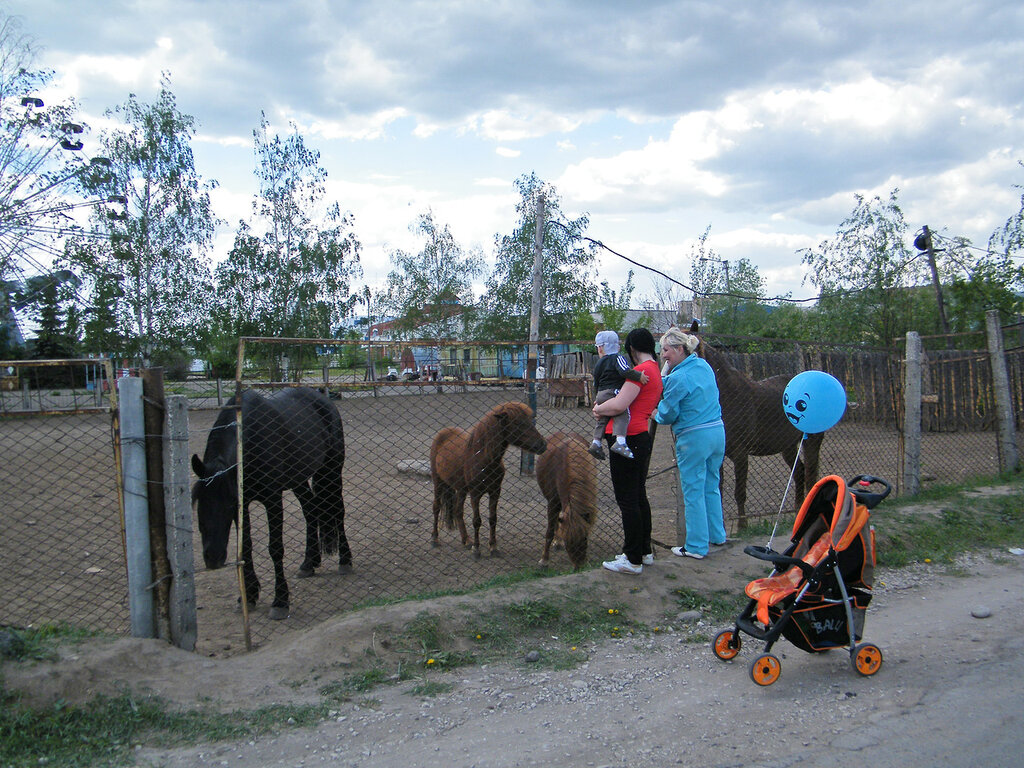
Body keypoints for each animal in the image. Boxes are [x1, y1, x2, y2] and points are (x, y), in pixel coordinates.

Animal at [190, 387, 350, 622]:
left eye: (228, 506)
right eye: (200, 503)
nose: (213, 557)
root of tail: (322, 398)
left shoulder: (272, 499)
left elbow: (275, 548)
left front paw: (280, 601)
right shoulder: (243, 503)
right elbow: (246, 547)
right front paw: (248, 596)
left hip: (331, 469)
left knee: (337, 511)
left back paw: (345, 560)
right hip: (298, 479)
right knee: (311, 511)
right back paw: (308, 563)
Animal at [428, 403, 548, 561]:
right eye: (517, 423)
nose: (542, 445)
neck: (483, 457)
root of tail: (442, 433)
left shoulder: (495, 492)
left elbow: (493, 519)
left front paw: (493, 547)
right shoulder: (475, 494)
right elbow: (477, 521)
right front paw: (477, 550)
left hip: (461, 489)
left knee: (458, 511)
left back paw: (466, 540)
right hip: (439, 482)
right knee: (436, 507)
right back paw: (435, 539)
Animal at [536, 434, 598, 573]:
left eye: (584, 538)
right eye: (567, 542)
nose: (580, 567)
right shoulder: (553, 503)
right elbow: (550, 531)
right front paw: (544, 561)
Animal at [688, 319, 823, 528]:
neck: (728, 396)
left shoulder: (741, 455)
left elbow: (739, 493)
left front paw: (742, 526)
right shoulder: (718, 456)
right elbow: (718, 491)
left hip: (812, 442)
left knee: (809, 474)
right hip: (788, 446)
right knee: (799, 472)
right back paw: (797, 510)